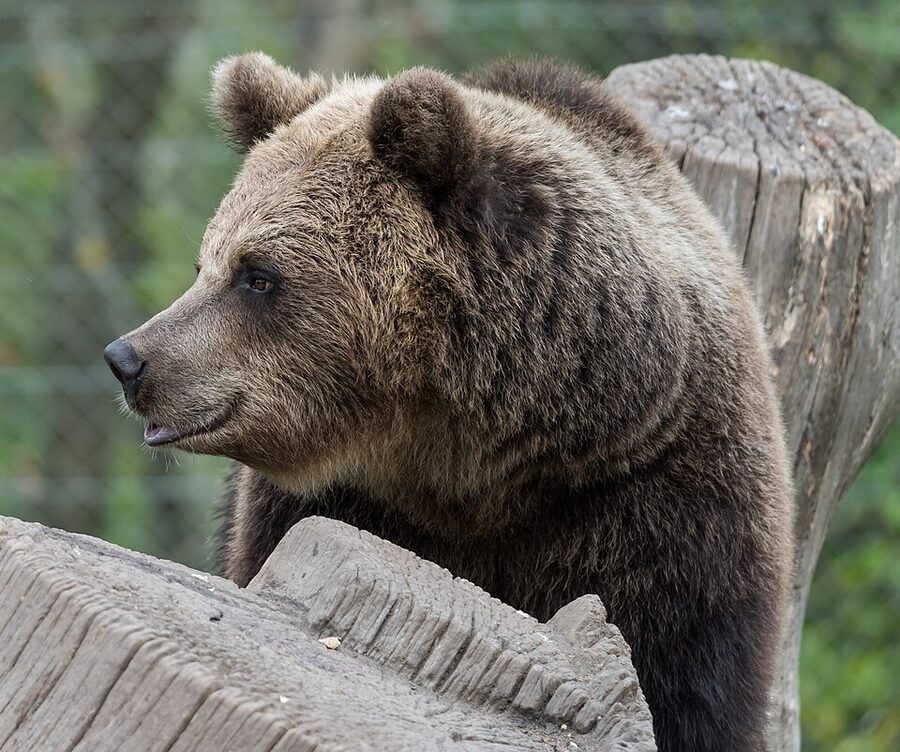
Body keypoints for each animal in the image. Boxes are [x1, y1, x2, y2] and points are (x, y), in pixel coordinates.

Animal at [104, 53, 793, 752]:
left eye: (258, 275)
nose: (129, 359)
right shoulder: (328, 505)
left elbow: (686, 683)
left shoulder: (662, 508)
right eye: (205, 263)